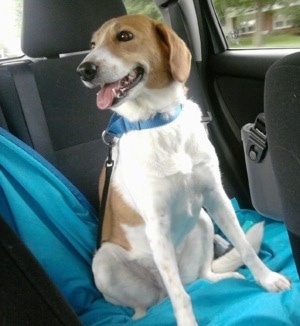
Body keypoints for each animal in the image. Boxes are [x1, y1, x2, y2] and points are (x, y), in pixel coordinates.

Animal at [78, 14, 290, 324]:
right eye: (92, 45)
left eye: (125, 36)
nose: (84, 70)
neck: (159, 121)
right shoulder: (156, 225)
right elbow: (181, 297)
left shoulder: (216, 197)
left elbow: (246, 248)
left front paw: (267, 279)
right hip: (103, 263)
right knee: (156, 300)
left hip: (203, 221)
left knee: (200, 276)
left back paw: (224, 279)